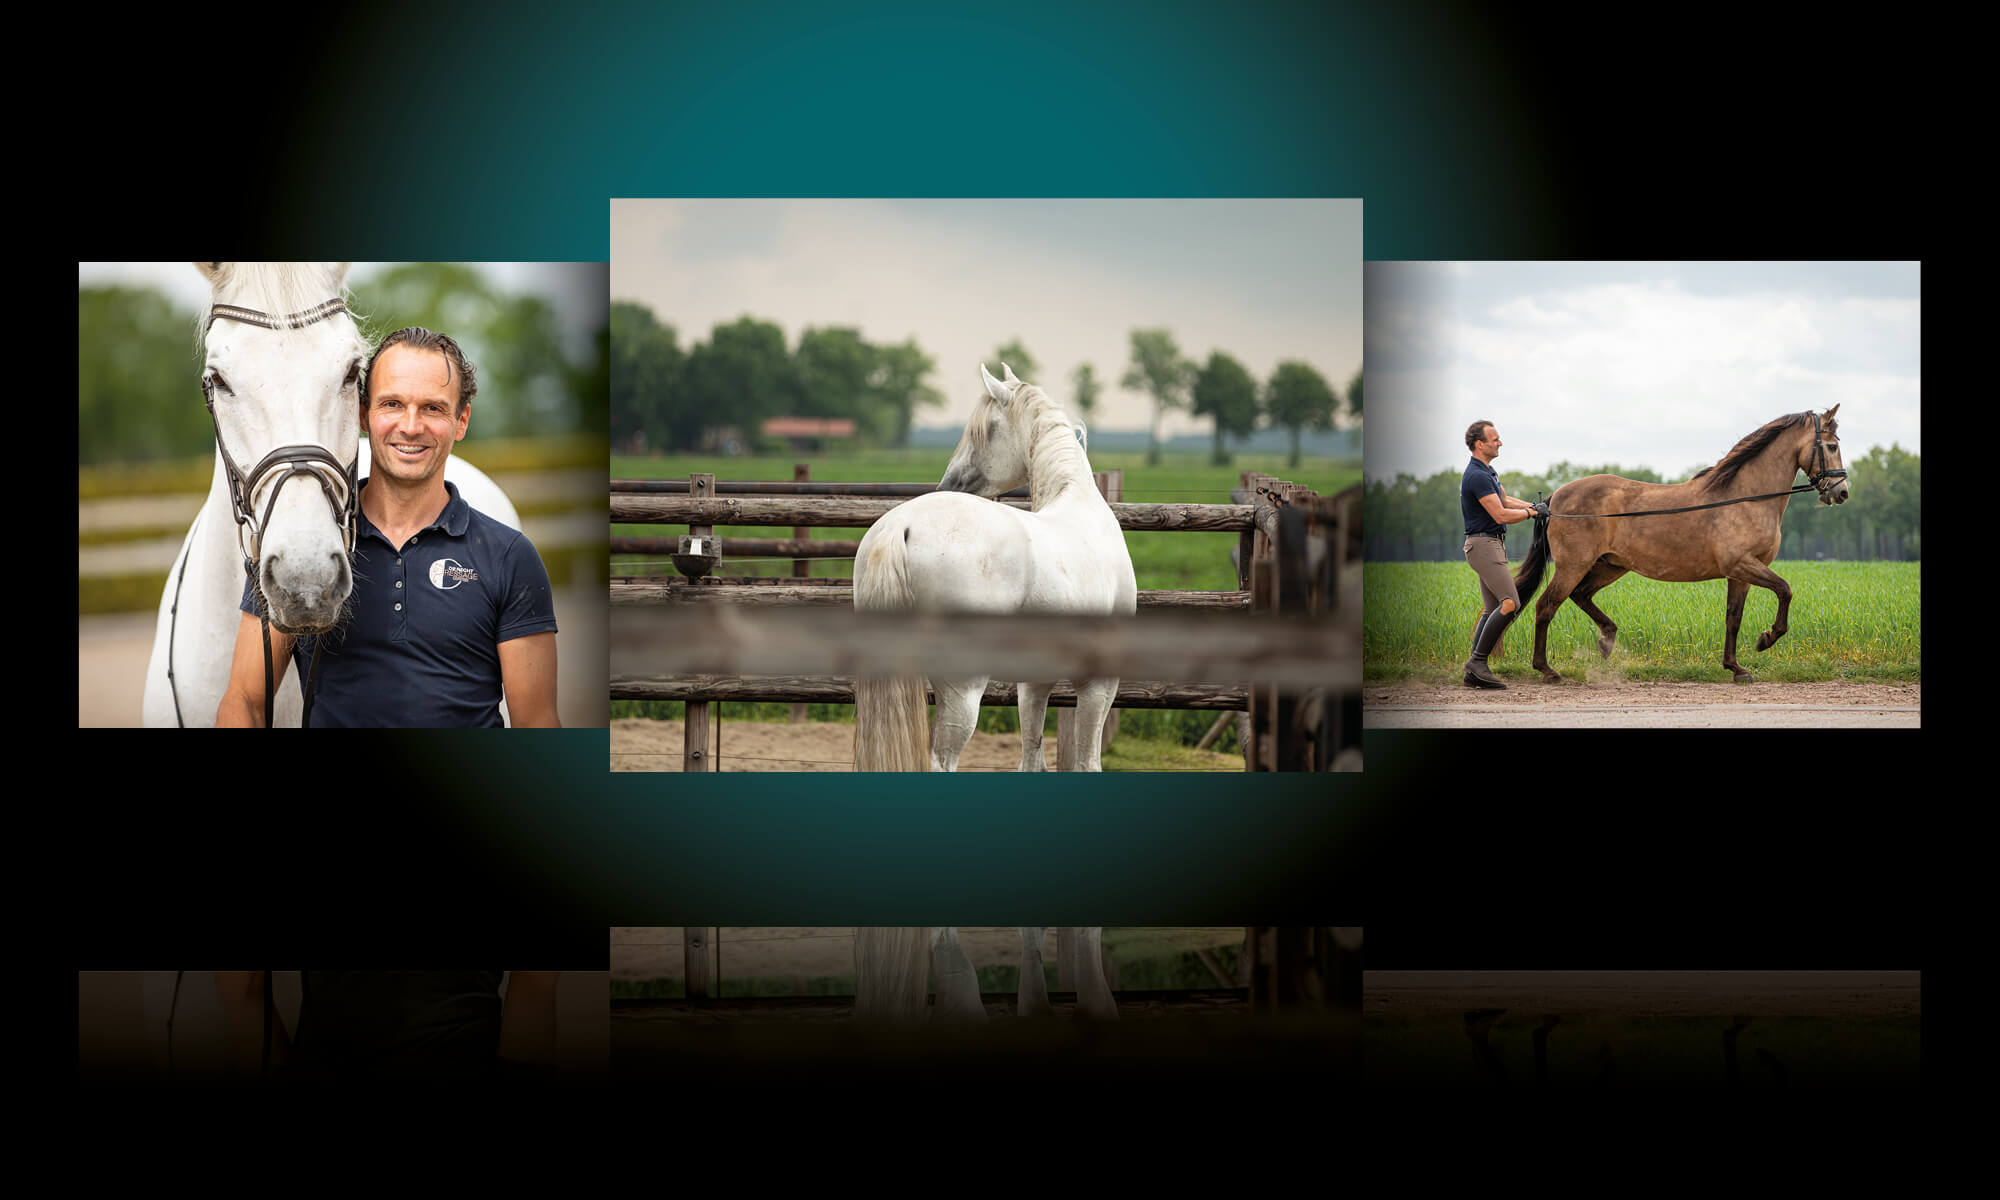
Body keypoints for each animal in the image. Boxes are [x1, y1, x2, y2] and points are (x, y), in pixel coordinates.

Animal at [848, 364, 1144, 768]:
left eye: (987, 428)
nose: (948, 483)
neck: (1079, 503)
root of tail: (901, 526)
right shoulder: (1098, 685)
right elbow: (1086, 763)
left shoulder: (1034, 684)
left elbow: (1033, 758)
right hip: (964, 687)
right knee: (942, 760)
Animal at [1512, 406, 1856, 680]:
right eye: (1830, 445)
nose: (1841, 492)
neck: (1746, 498)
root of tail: (1556, 497)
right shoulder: (1743, 565)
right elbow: (1785, 590)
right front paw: (1766, 639)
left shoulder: (1740, 574)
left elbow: (1733, 618)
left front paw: (1735, 668)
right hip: (1574, 565)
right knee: (1546, 606)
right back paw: (1547, 669)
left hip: (1610, 566)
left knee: (1581, 595)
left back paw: (1606, 640)